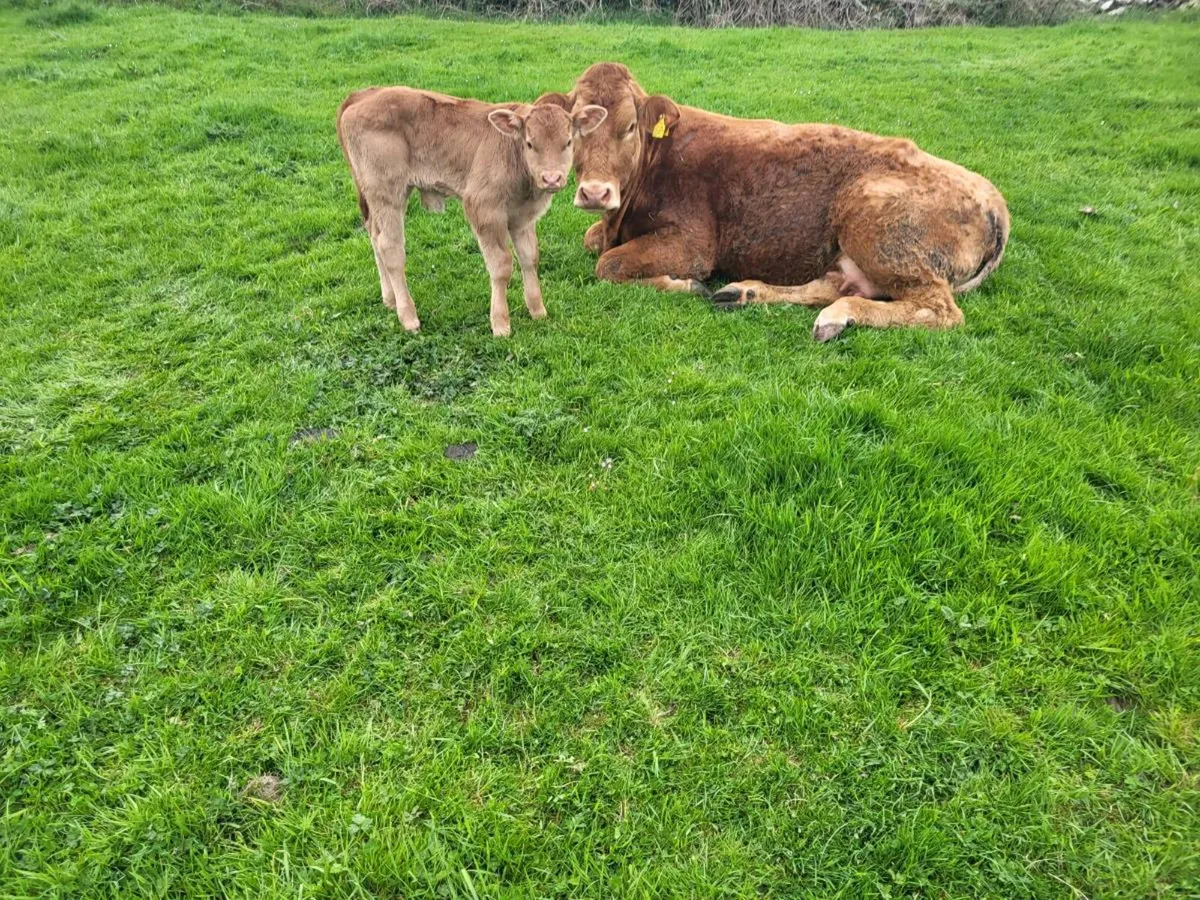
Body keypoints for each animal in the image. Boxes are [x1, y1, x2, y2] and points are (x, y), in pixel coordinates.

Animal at [337, 87, 607, 336]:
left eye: (568, 142)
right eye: (530, 143)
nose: (551, 178)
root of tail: (364, 94)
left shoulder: (522, 217)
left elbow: (530, 257)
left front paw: (537, 310)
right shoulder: (483, 208)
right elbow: (501, 265)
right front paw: (500, 323)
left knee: (374, 235)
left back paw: (390, 299)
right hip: (387, 193)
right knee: (390, 247)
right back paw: (408, 316)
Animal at [536, 63, 1009, 341]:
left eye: (631, 126)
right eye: (574, 127)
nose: (595, 192)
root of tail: (995, 200)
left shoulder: (694, 245)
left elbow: (608, 264)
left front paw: (683, 284)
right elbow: (593, 242)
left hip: (880, 233)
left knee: (938, 310)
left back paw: (838, 315)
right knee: (832, 284)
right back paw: (743, 293)